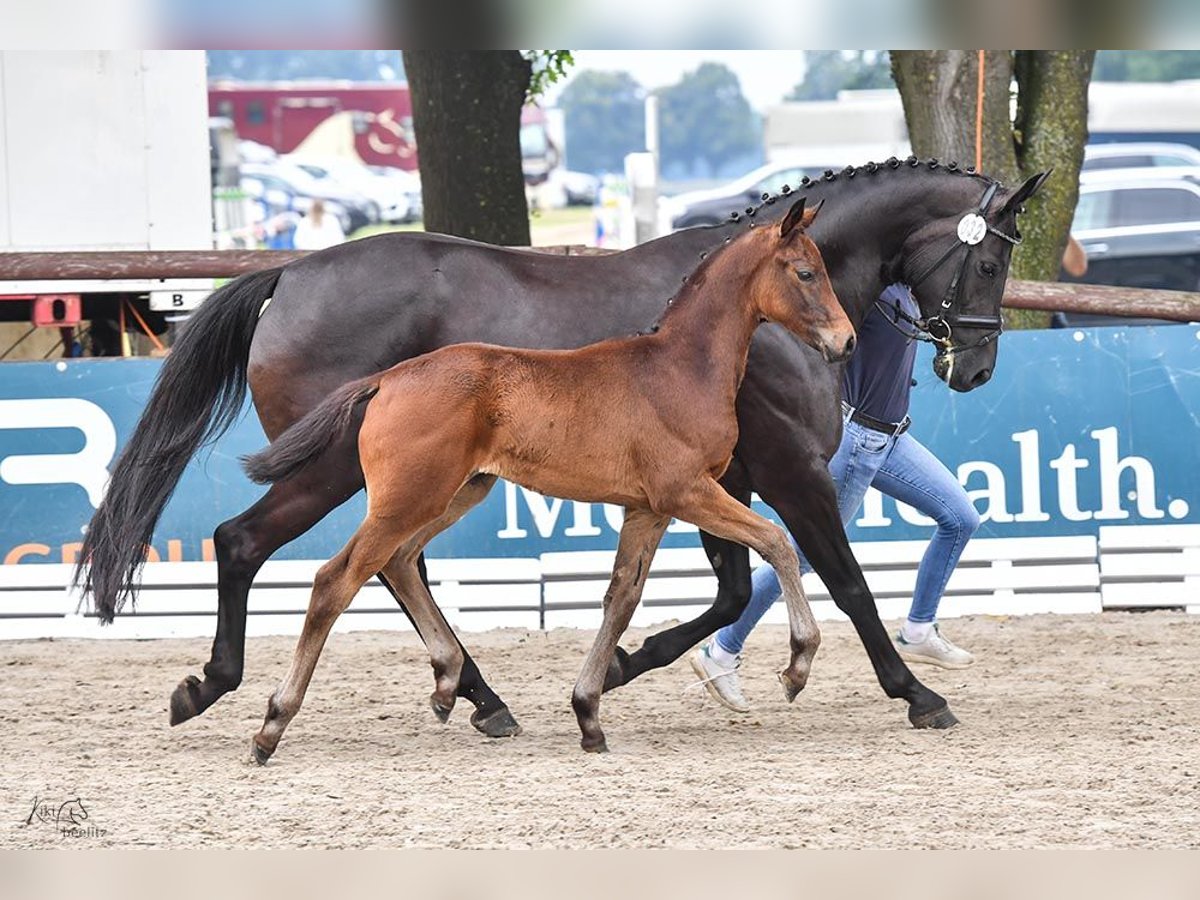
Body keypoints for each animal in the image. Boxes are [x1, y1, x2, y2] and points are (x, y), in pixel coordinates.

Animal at [241, 199, 854, 763]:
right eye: (806, 272)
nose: (845, 341)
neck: (679, 368)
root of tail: (388, 379)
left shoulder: (649, 507)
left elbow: (621, 597)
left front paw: (589, 715)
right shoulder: (687, 491)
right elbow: (778, 542)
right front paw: (798, 664)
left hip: (458, 491)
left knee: (397, 562)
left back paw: (449, 687)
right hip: (408, 498)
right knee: (335, 579)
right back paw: (272, 725)